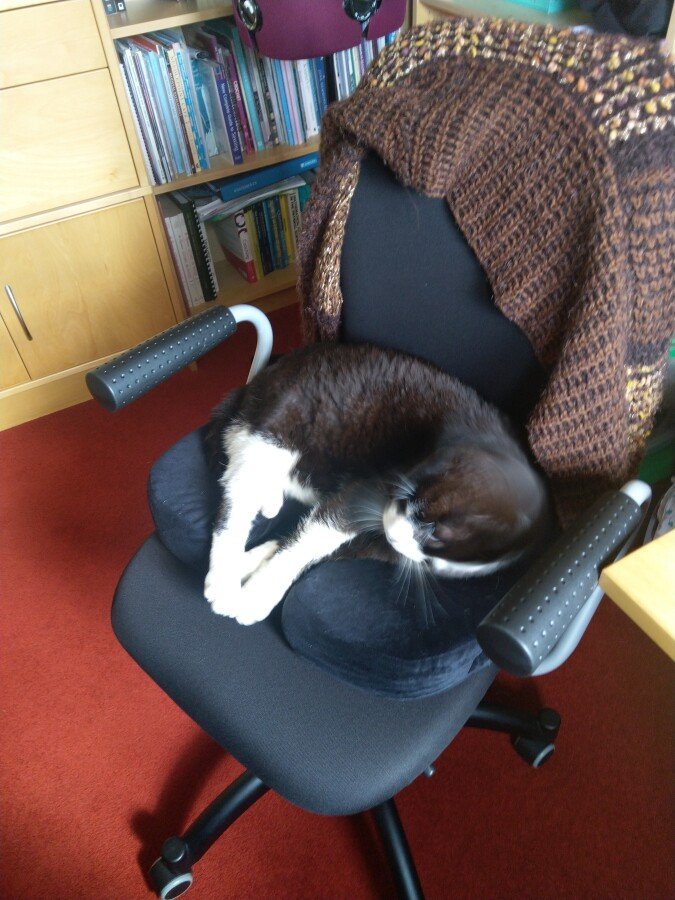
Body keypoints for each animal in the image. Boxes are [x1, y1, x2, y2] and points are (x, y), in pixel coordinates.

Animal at [204, 342, 547, 625]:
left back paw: (268, 506)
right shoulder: (375, 483)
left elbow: (312, 545)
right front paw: (252, 594)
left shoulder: (377, 541)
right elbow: (317, 536)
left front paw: (254, 575)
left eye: (429, 562)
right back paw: (224, 575)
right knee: (239, 491)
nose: (394, 537)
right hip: (286, 422)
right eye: (433, 528)